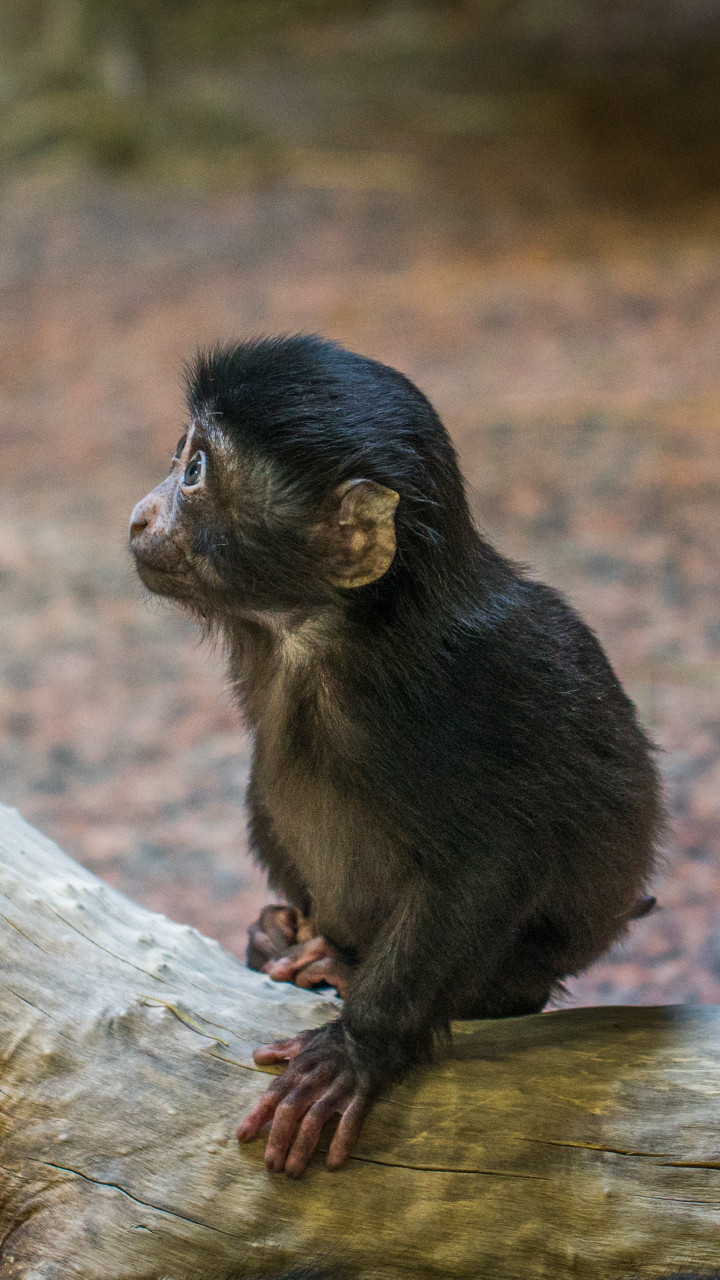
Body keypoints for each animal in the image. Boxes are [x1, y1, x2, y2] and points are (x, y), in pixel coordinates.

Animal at [129, 335, 663, 1181]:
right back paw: (305, 945)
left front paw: (358, 1047)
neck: (328, 633)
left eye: (196, 471)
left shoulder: (442, 694)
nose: (140, 514)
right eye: (179, 454)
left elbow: (492, 861)